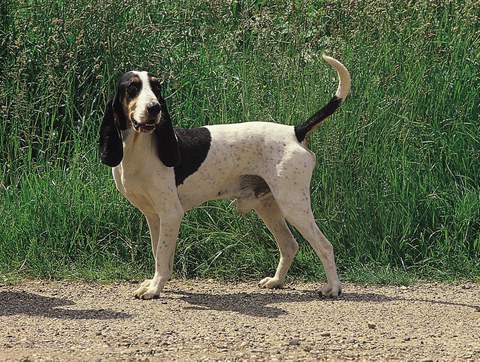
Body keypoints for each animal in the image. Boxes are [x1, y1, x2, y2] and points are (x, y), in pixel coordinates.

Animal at [99, 55, 350, 300]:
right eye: (133, 87)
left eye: (156, 87)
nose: (155, 108)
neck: (138, 150)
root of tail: (295, 131)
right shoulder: (154, 216)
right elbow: (159, 253)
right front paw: (157, 283)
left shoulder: (171, 213)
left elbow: (161, 253)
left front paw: (154, 289)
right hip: (268, 206)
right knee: (289, 245)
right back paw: (276, 281)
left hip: (293, 206)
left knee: (324, 246)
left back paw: (333, 288)